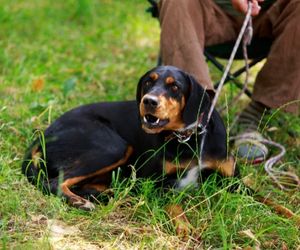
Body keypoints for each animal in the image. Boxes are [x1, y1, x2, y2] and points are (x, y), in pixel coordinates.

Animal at [21, 65, 237, 237]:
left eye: (175, 86)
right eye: (148, 83)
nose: (149, 101)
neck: (189, 138)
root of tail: (44, 134)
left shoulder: (233, 180)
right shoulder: (157, 184)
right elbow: (174, 205)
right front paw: (184, 226)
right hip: (113, 147)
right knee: (53, 182)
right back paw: (82, 202)